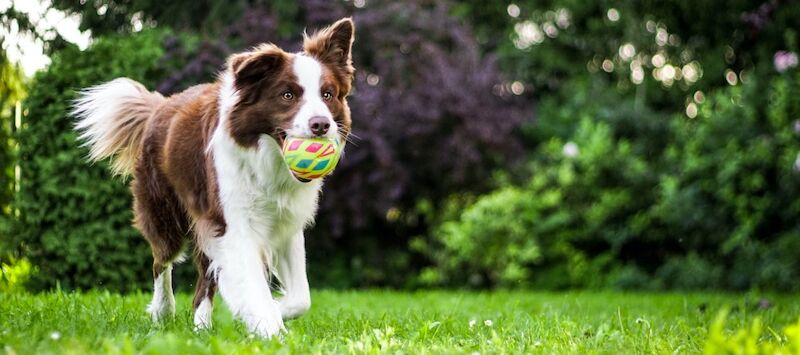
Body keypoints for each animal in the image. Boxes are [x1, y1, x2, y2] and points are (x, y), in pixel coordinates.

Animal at [71, 17, 354, 340]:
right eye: (287, 95)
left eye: (327, 94)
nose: (321, 124)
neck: (268, 161)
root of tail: (160, 105)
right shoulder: (233, 223)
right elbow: (253, 286)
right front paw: (268, 327)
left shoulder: (285, 224)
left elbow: (300, 298)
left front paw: (270, 312)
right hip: (165, 213)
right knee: (161, 261)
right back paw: (163, 311)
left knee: (204, 280)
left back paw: (201, 327)